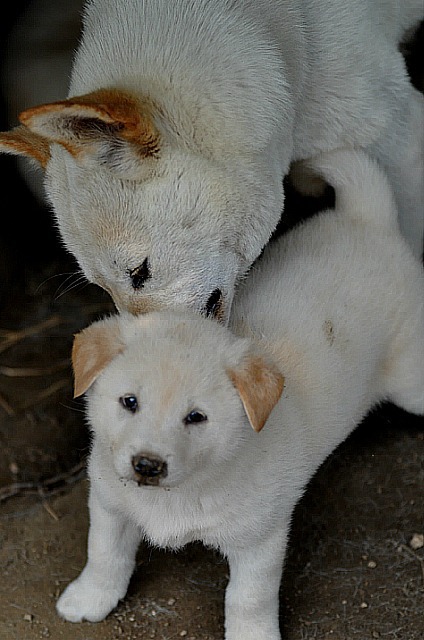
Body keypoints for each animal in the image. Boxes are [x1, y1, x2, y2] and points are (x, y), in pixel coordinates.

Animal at [55, 148, 424, 636]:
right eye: (129, 402)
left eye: (196, 417)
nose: (147, 466)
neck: (184, 489)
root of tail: (368, 218)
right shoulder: (109, 505)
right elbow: (103, 555)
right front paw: (89, 599)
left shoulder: (260, 541)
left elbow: (248, 598)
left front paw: (253, 634)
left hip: (411, 380)